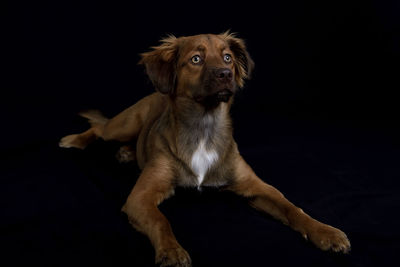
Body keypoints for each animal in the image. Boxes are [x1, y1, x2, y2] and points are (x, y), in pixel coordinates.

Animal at [59, 32, 350, 266]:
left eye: (228, 58)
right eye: (196, 59)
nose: (225, 74)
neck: (204, 127)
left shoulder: (257, 187)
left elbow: (292, 208)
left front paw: (325, 232)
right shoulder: (140, 197)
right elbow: (160, 220)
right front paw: (171, 251)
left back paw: (126, 153)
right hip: (125, 123)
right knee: (100, 128)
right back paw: (75, 140)